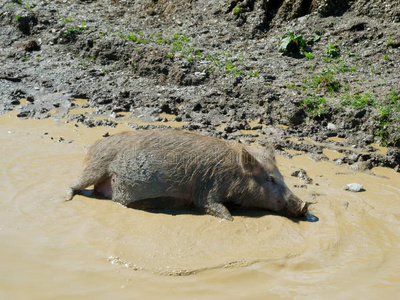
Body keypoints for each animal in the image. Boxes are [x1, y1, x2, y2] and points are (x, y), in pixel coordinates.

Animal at [67, 129, 308, 220]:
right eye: (270, 179)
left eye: (281, 176)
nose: (304, 204)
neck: (233, 174)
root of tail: (93, 146)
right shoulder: (208, 188)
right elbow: (214, 207)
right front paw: (229, 218)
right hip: (96, 167)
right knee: (74, 184)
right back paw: (66, 199)